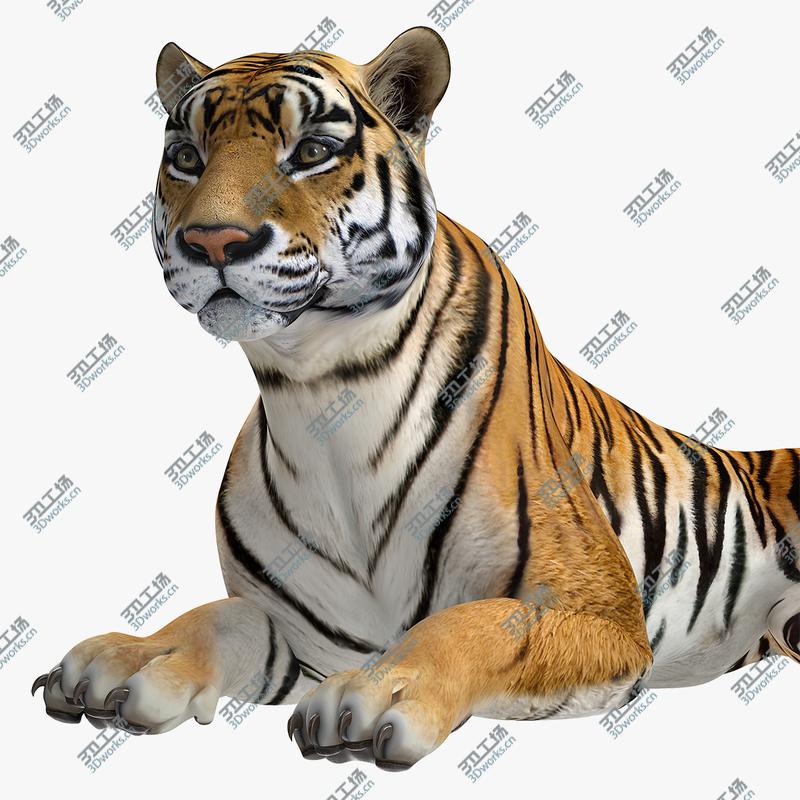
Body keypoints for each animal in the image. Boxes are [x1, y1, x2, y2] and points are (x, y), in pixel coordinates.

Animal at [32, 26, 800, 771]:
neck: (320, 390)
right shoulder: (303, 638)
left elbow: (473, 624)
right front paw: (131, 659)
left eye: (312, 151)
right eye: (187, 157)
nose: (211, 240)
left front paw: (382, 690)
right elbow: (223, 616)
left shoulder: (597, 608)